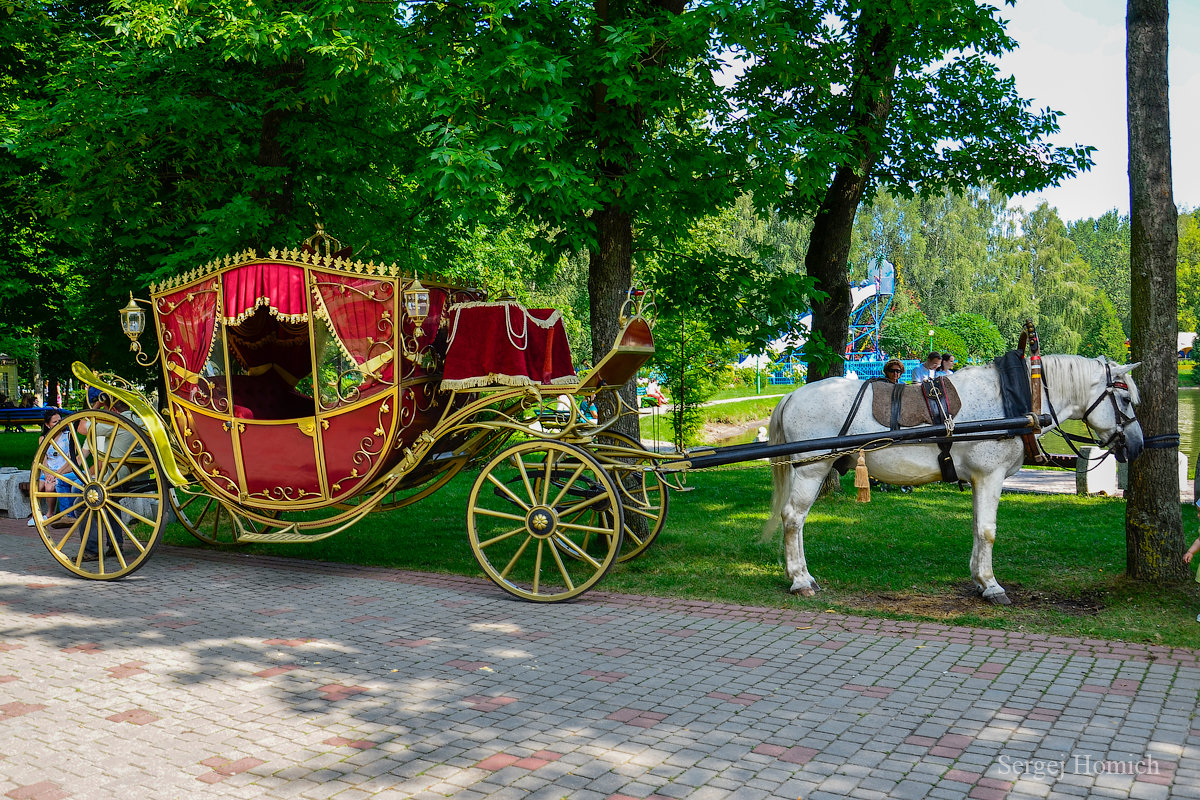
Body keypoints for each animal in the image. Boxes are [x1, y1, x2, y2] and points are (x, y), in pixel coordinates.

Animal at [768, 352, 1142, 604]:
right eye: (1125, 398)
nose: (1137, 445)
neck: (1012, 403)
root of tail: (791, 395)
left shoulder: (980, 479)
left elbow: (977, 527)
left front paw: (979, 579)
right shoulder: (991, 476)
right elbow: (988, 531)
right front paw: (991, 585)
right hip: (812, 469)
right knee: (793, 518)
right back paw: (800, 579)